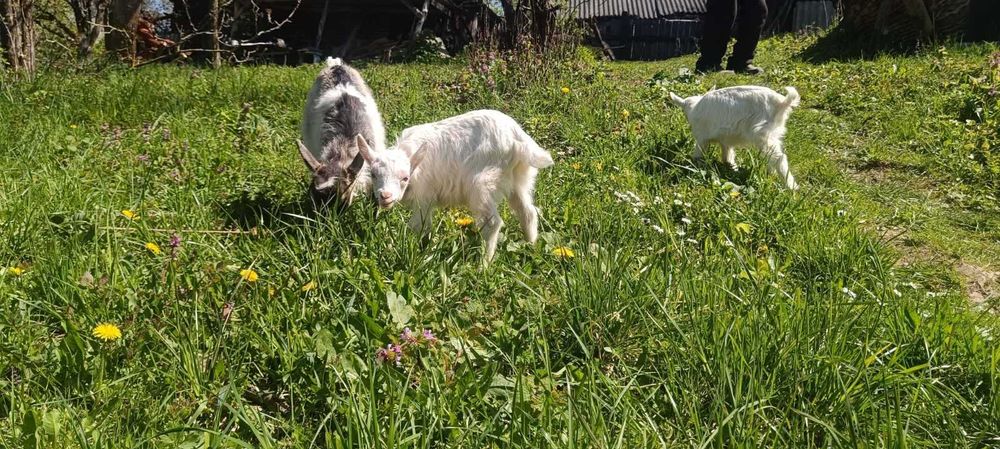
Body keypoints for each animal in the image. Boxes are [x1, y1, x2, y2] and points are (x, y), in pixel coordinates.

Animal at [355, 110, 555, 264]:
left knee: (492, 222)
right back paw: (531, 246)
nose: (385, 196)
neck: (415, 162)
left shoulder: (424, 197)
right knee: (527, 211)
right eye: (373, 175)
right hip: (519, 178)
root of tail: (517, 139)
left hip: (482, 183)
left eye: (405, 177)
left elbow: (417, 226)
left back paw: (483, 265)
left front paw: (396, 248)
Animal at [669, 85, 801, 190]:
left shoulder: (701, 137)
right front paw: (732, 167)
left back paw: (791, 187)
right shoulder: (725, 140)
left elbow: (698, 154)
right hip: (772, 134)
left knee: (779, 158)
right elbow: (727, 155)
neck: (694, 107)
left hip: (761, 133)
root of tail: (781, 102)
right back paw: (771, 174)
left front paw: (695, 166)